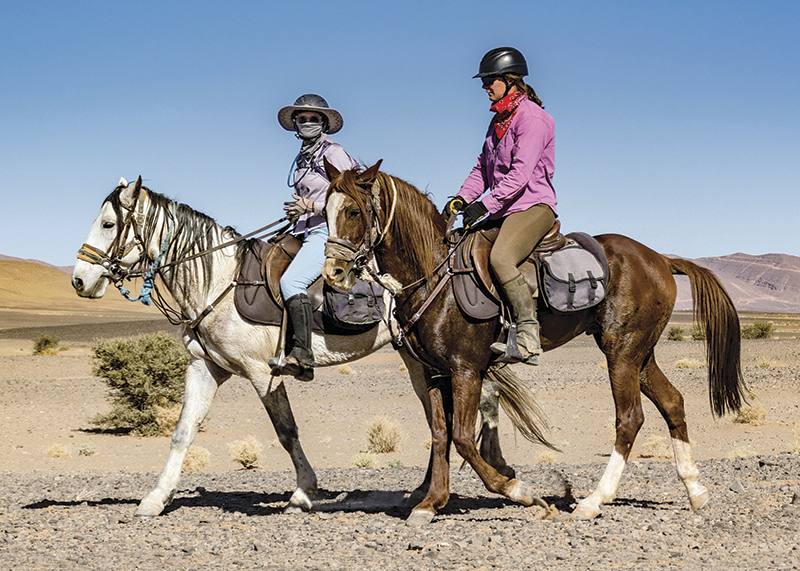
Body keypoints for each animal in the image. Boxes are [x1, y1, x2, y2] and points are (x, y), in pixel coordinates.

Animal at [71, 176, 534, 518]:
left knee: (474, 401)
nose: (79, 279)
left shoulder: (262, 372)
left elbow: (286, 431)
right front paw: (155, 498)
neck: (219, 281)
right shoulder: (205, 367)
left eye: (108, 224)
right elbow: (182, 431)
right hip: (420, 358)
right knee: (468, 403)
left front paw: (304, 492)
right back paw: (446, 484)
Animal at [321, 160, 746, 525]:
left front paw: (521, 492)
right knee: (673, 403)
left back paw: (593, 501)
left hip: (622, 352)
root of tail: (660, 258)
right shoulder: (434, 374)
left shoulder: (465, 370)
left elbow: (462, 438)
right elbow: (440, 436)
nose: (333, 272)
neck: (432, 275)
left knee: (630, 418)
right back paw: (695, 491)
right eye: (324, 211)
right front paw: (430, 503)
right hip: (641, 353)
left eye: (354, 211)